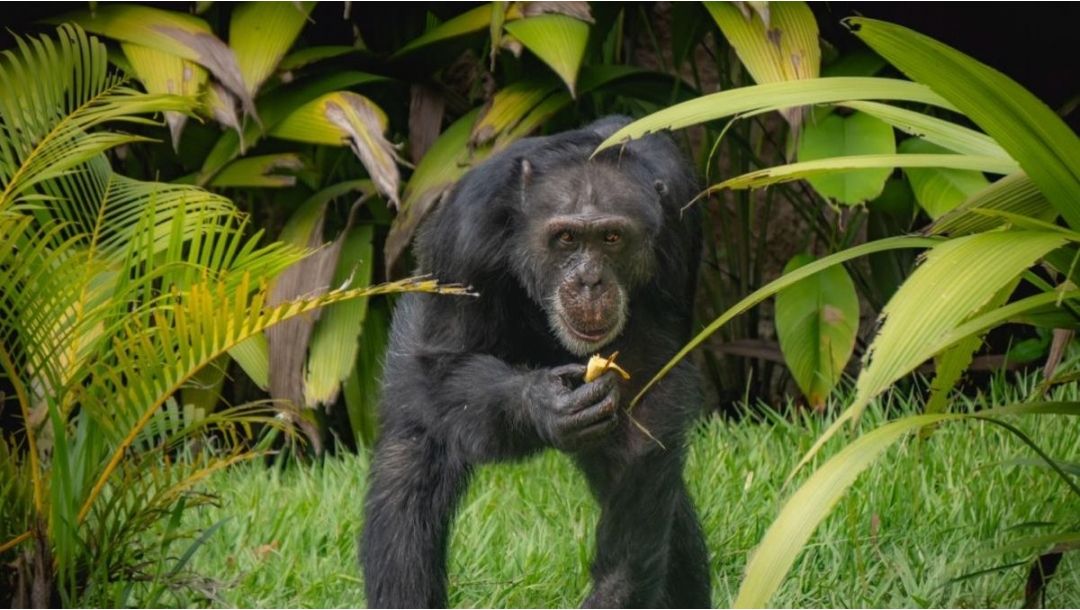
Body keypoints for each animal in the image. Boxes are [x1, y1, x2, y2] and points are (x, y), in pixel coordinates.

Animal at [360, 116, 708, 604]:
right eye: (566, 238)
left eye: (611, 238)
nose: (589, 280)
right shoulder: (464, 233)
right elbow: (444, 363)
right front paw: (540, 404)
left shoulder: (678, 227)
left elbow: (646, 416)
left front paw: (615, 589)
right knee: (409, 459)